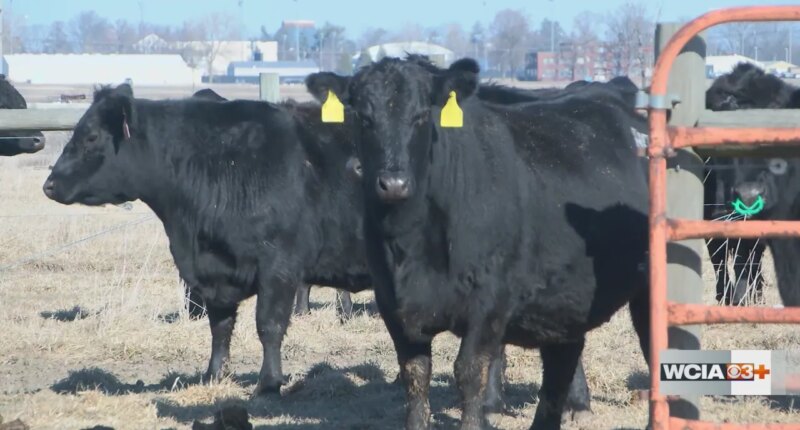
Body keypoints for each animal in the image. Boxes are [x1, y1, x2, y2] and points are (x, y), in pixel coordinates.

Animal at [41, 84, 511, 412]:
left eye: (91, 137)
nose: (49, 184)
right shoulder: (217, 271)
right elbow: (220, 326)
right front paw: (214, 374)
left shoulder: (279, 265)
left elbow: (268, 326)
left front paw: (269, 384)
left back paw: (489, 396)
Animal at [306, 57, 651, 429]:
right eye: (363, 117)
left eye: (422, 115)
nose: (393, 183)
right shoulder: (393, 305)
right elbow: (416, 375)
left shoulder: (488, 303)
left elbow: (470, 372)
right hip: (565, 300)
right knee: (560, 367)